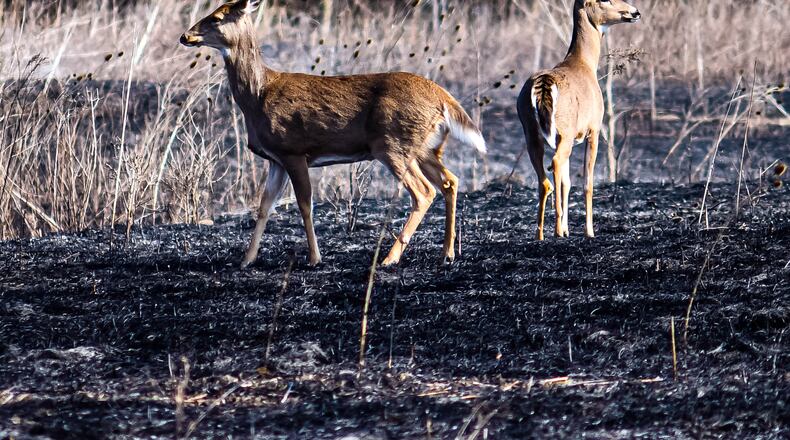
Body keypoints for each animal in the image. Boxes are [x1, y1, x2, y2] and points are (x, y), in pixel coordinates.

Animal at [180, 0, 486, 269]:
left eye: (217, 17)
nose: (185, 35)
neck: (258, 96)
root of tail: (443, 97)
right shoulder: (276, 159)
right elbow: (265, 206)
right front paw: (246, 260)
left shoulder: (293, 150)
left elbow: (305, 204)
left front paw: (315, 258)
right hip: (425, 147)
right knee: (449, 181)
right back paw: (447, 254)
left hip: (392, 144)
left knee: (423, 192)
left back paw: (390, 258)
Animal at [517, 0, 640, 240]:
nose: (634, 12)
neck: (584, 63)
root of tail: (543, 84)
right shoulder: (593, 131)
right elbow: (587, 183)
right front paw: (588, 231)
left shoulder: (569, 139)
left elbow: (567, 181)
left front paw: (566, 229)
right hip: (564, 132)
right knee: (555, 164)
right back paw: (556, 231)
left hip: (532, 133)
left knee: (546, 180)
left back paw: (540, 234)